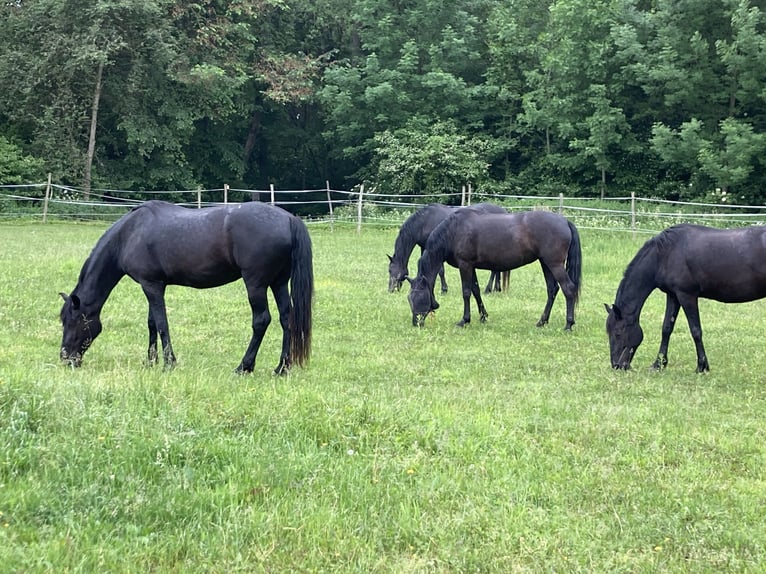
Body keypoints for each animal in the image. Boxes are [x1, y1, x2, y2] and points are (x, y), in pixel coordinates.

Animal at [57, 200, 316, 376]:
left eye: (72, 321)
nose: (66, 359)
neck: (130, 234)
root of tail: (288, 219)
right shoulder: (153, 285)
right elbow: (152, 323)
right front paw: (151, 361)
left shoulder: (151, 285)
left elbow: (162, 323)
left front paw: (168, 363)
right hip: (278, 282)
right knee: (287, 319)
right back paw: (282, 367)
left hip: (256, 284)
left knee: (261, 320)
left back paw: (244, 366)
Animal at [408, 210, 584, 328]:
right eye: (409, 298)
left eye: (419, 297)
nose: (416, 323)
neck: (455, 231)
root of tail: (565, 221)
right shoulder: (471, 266)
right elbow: (476, 291)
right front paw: (483, 316)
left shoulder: (465, 265)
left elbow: (466, 292)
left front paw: (464, 320)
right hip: (546, 263)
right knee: (552, 289)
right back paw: (542, 321)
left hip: (554, 264)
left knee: (568, 289)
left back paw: (569, 324)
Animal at [608, 225, 766, 374]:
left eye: (618, 333)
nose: (616, 365)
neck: (664, 255)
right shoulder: (673, 296)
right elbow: (666, 328)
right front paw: (659, 364)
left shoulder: (687, 296)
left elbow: (696, 331)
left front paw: (702, 366)